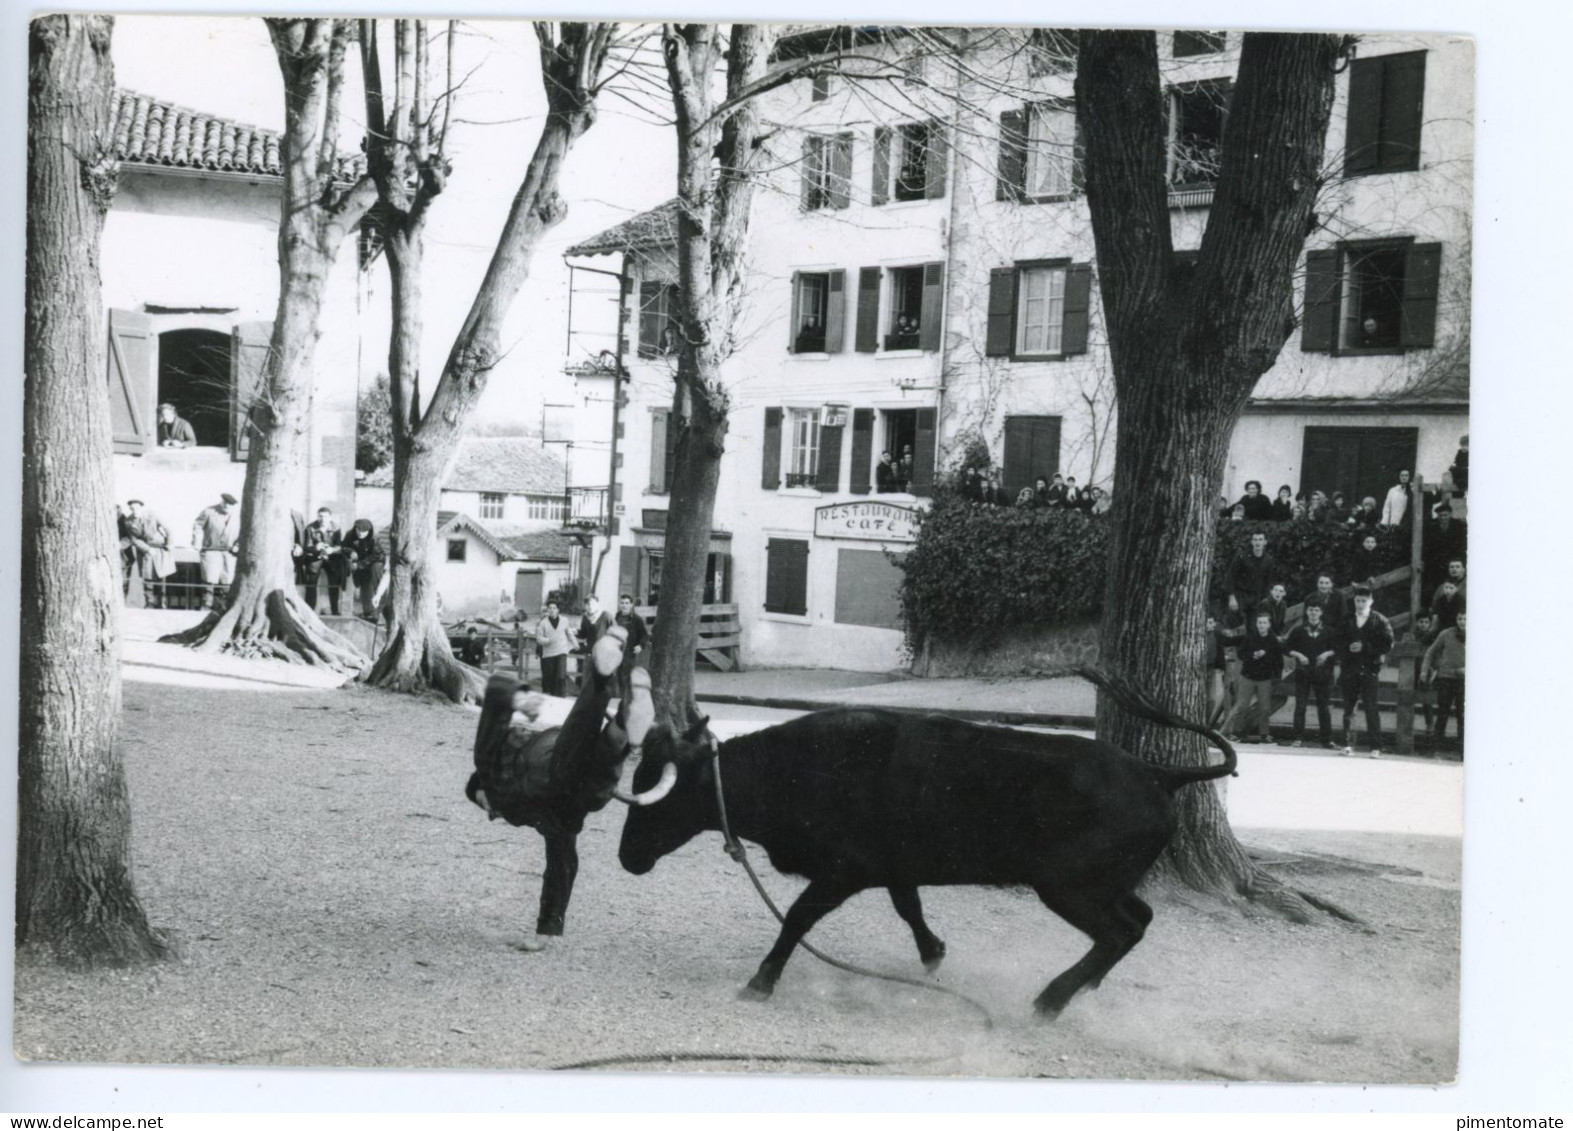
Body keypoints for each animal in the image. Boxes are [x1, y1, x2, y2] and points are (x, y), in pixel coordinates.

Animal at [714, 751, 994, 1025]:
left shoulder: (849, 871)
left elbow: (799, 915)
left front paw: (761, 981)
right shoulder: (889, 867)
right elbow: (908, 906)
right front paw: (933, 951)